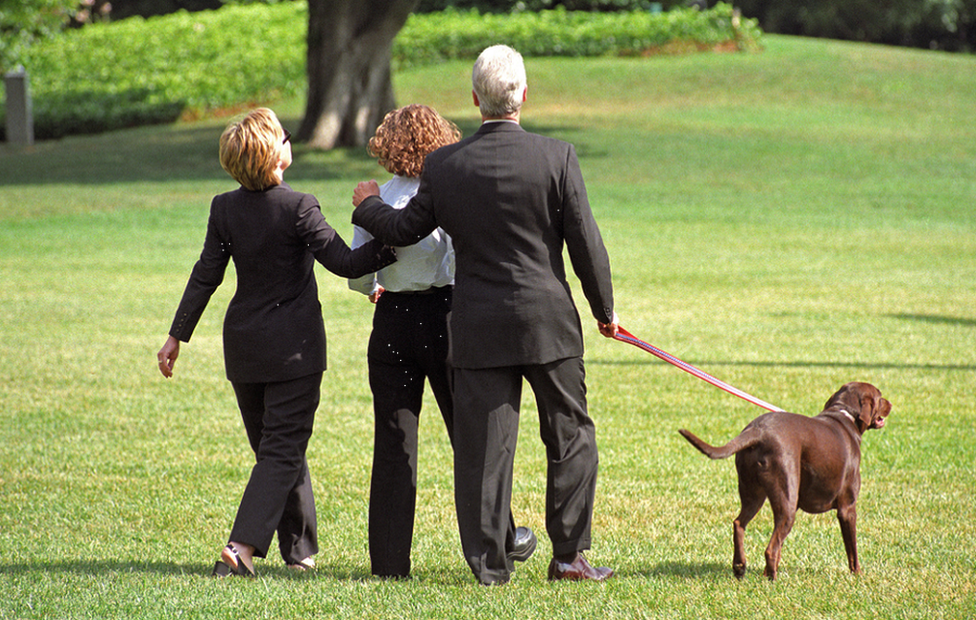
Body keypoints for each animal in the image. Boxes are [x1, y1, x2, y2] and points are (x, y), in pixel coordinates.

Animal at [680, 382, 892, 580]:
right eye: (880, 396)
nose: (890, 403)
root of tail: (757, 432)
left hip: (754, 493)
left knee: (740, 524)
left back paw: (740, 567)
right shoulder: (847, 508)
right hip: (786, 503)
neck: (844, 413)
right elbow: (852, 549)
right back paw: (772, 579)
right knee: (770, 548)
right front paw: (858, 575)